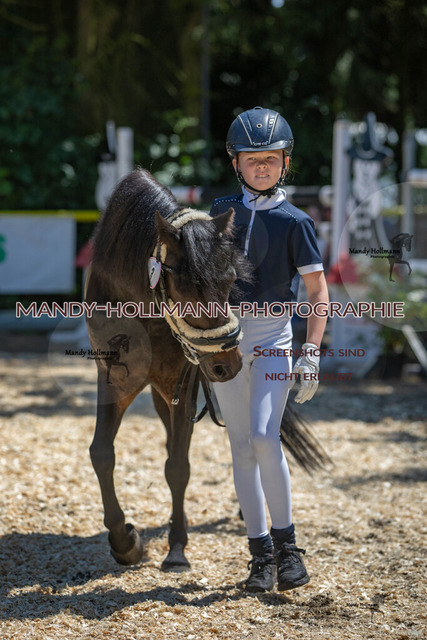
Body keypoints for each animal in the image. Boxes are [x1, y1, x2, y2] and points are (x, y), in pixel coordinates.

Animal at [85, 168, 329, 573]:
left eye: (231, 280)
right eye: (185, 288)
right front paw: (126, 543)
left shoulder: (183, 383)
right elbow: (102, 453)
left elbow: (177, 466)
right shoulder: (116, 378)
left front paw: (176, 549)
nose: (226, 363)